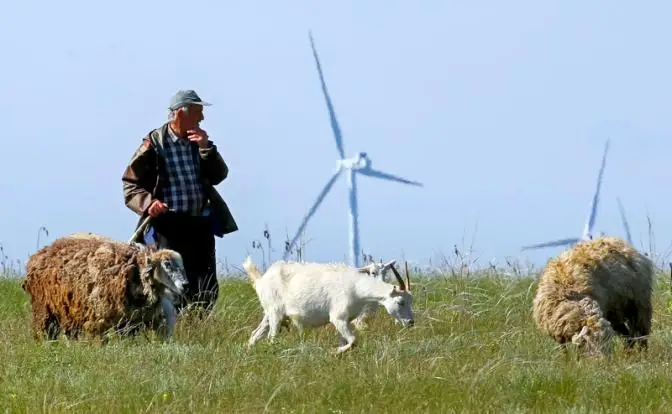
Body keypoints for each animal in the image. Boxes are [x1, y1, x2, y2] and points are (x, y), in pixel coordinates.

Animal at [21, 233, 189, 342]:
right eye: (167, 264)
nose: (186, 285)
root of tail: (42, 252)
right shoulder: (99, 321)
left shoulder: (131, 323)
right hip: (43, 310)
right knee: (46, 334)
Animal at [243, 254, 410, 354]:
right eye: (400, 302)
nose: (411, 322)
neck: (356, 286)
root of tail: (260, 280)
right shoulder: (338, 318)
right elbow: (354, 341)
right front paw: (333, 351)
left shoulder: (346, 320)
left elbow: (348, 341)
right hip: (275, 314)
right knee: (271, 338)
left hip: (269, 314)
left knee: (255, 334)